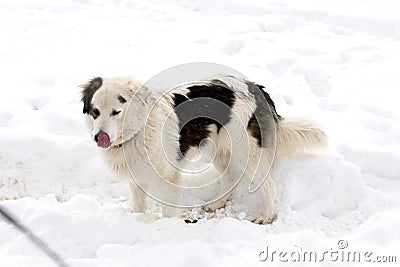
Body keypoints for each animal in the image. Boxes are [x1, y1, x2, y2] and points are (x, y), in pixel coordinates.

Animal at [80, 75, 324, 224]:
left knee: (268, 185)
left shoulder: (168, 177)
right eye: (95, 111)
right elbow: (139, 205)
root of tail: (256, 88)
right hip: (219, 148)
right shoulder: (137, 177)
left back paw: (266, 216)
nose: (99, 137)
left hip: (245, 151)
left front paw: (169, 228)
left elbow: (168, 210)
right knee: (230, 180)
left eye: (116, 112)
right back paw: (216, 204)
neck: (138, 130)